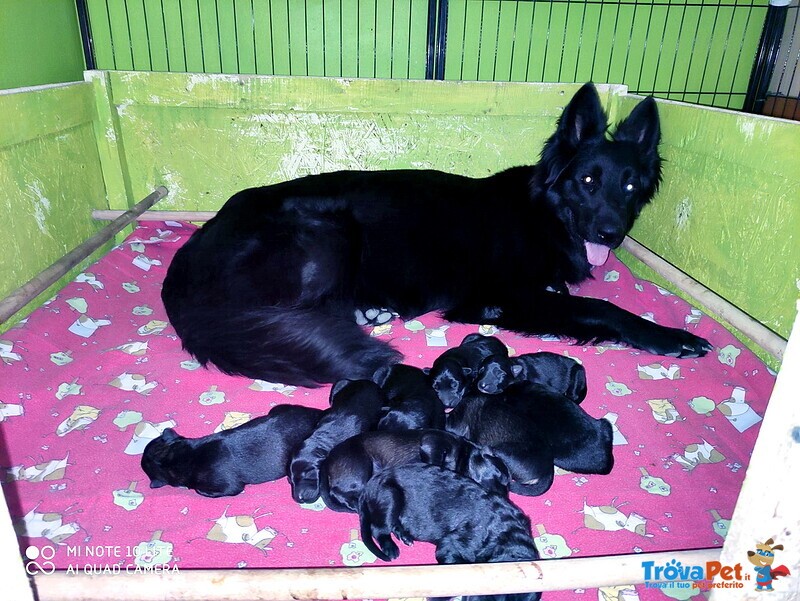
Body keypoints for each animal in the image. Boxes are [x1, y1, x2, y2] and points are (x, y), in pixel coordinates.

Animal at [159, 83, 708, 384]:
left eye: (630, 185)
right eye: (587, 181)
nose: (611, 234)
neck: (540, 213)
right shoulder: (502, 295)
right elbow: (602, 309)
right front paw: (670, 337)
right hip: (328, 230)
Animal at [318, 428, 506, 508]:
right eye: (500, 476)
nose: (506, 499)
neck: (464, 453)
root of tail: (326, 461)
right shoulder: (431, 443)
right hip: (361, 469)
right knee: (339, 492)